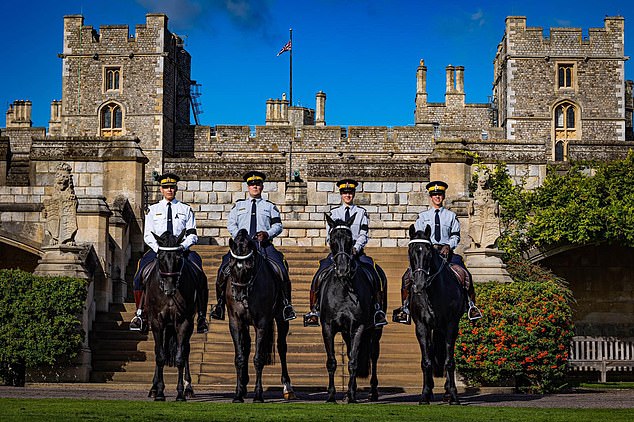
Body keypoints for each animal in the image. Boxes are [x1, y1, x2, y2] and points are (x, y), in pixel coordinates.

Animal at [144, 229, 199, 400]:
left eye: (178, 258)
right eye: (161, 258)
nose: (169, 289)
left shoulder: (183, 322)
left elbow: (180, 357)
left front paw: (180, 392)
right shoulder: (157, 322)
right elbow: (160, 356)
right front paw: (160, 392)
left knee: (186, 350)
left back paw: (188, 388)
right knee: (158, 349)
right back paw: (154, 388)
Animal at [222, 227, 294, 402]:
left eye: (249, 267)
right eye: (231, 265)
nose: (238, 296)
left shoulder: (261, 323)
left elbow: (258, 358)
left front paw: (258, 395)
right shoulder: (236, 322)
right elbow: (240, 357)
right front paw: (238, 394)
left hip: (281, 319)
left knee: (282, 347)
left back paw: (287, 387)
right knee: (247, 346)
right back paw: (243, 384)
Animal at [318, 214, 382, 402]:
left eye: (349, 240)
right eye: (332, 240)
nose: (342, 269)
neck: (344, 288)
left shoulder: (359, 327)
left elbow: (354, 362)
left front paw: (351, 395)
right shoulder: (328, 327)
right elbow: (332, 361)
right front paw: (331, 395)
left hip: (375, 330)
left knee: (373, 355)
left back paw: (372, 392)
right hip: (346, 332)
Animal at [404, 224, 464, 406]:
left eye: (429, 252)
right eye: (410, 252)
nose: (419, 285)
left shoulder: (451, 326)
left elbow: (449, 361)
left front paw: (453, 395)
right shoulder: (422, 326)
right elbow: (426, 360)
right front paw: (424, 394)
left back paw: (447, 392)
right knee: (430, 353)